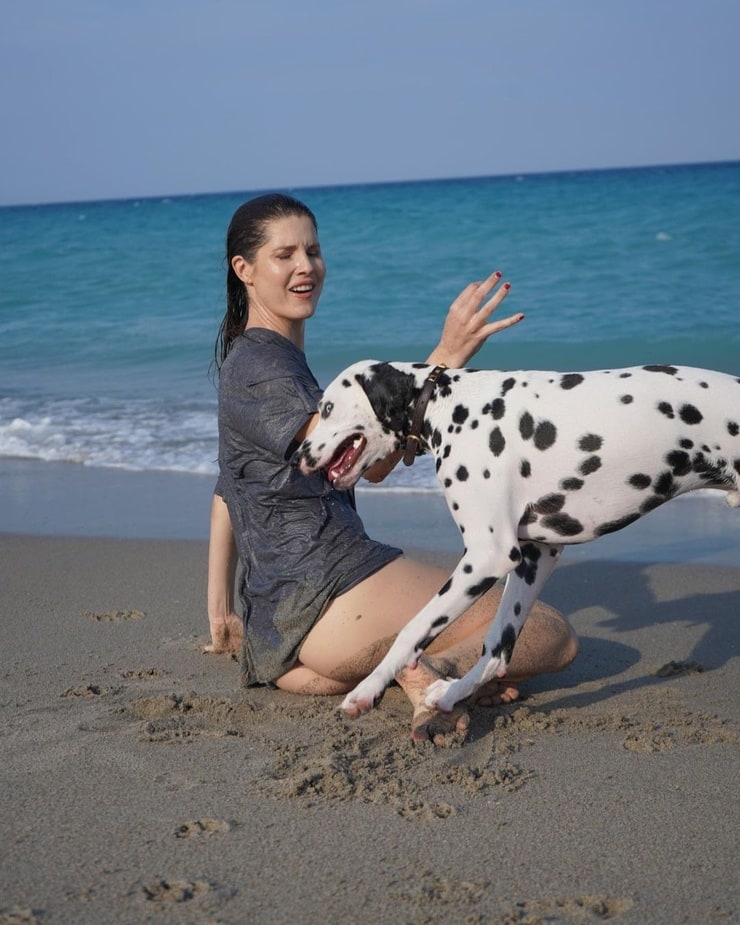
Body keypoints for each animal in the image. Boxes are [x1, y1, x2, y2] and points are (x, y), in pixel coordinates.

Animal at [292, 360, 736, 716]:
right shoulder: (535, 555)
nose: (296, 456)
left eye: (327, 408)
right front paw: (451, 693)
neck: (449, 406)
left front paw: (368, 689)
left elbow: (411, 630)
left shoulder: (487, 556)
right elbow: (497, 647)